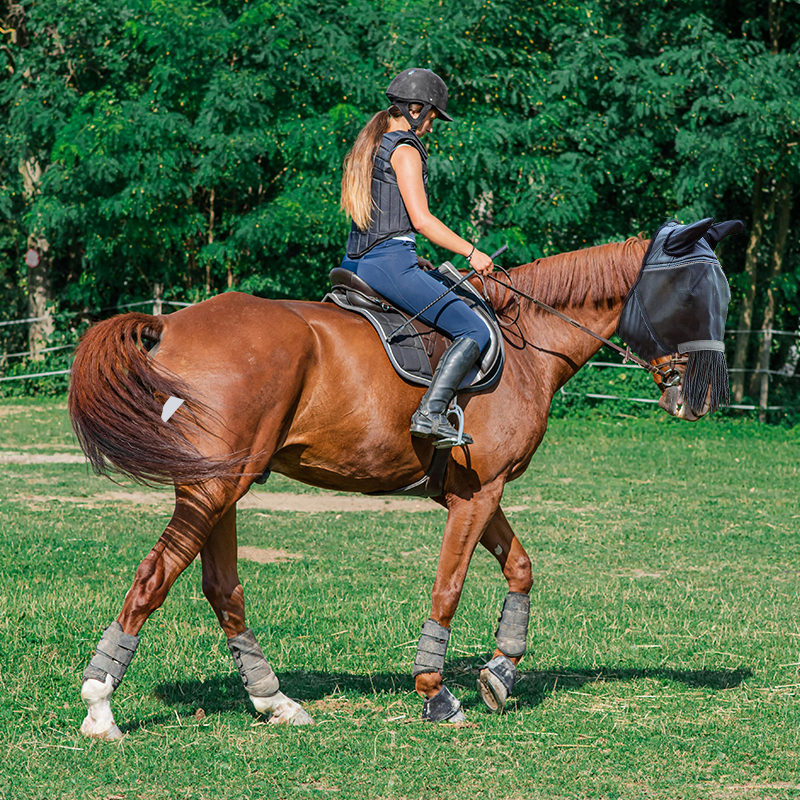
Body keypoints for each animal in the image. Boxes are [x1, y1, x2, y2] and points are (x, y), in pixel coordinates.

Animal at [68, 227, 728, 738]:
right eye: (692, 297)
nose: (698, 399)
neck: (527, 347)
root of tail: (171, 325)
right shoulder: (478, 493)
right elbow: (449, 587)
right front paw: (437, 694)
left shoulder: (476, 492)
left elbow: (520, 569)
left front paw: (500, 673)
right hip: (213, 490)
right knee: (156, 576)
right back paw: (100, 707)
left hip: (223, 485)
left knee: (221, 588)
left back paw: (273, 701)